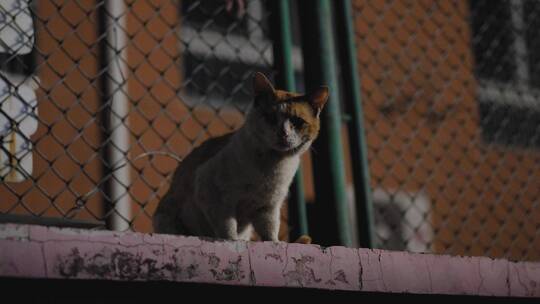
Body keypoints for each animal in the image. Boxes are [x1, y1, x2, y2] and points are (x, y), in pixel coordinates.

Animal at [153, 72, 330, 241]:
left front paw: (274, 242)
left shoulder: (268, 207)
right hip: (168, 218)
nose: (283, 133)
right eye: (271, 117)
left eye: (297, 122)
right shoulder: (214, 194)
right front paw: (233, 240)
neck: (270, 168)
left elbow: (270, 230)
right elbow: (228, 226)